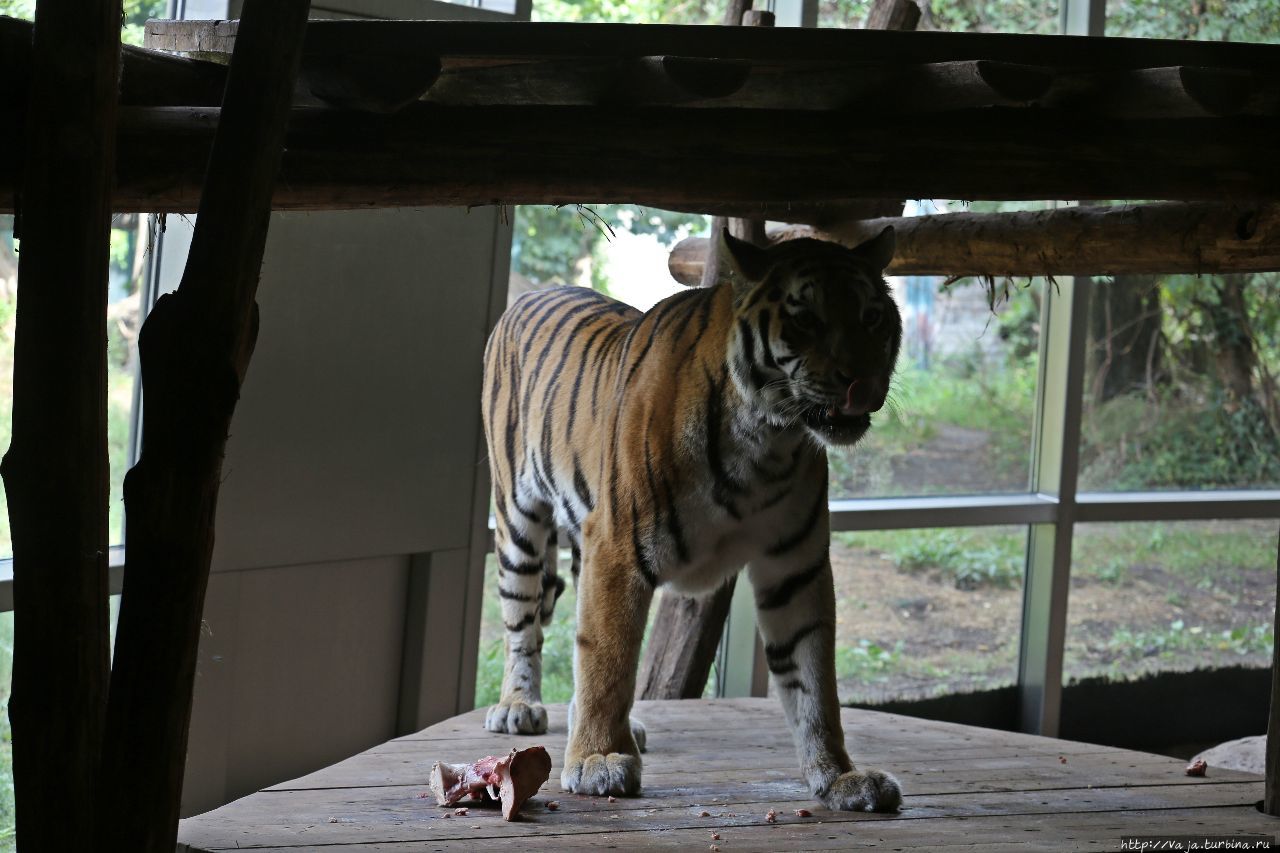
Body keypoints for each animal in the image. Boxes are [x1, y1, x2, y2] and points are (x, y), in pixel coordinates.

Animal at [483, 227, 906, 809]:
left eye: (871, 317)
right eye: (806, 320)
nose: (859, 382)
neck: (767, 442)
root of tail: (529, 294)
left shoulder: (796, 567)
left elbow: (814, 679)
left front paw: (839, 775)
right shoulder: (616, 548)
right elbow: (606, 658)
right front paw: (596, 761)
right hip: (518, 521)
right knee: (523, 623)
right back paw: (518, 706)